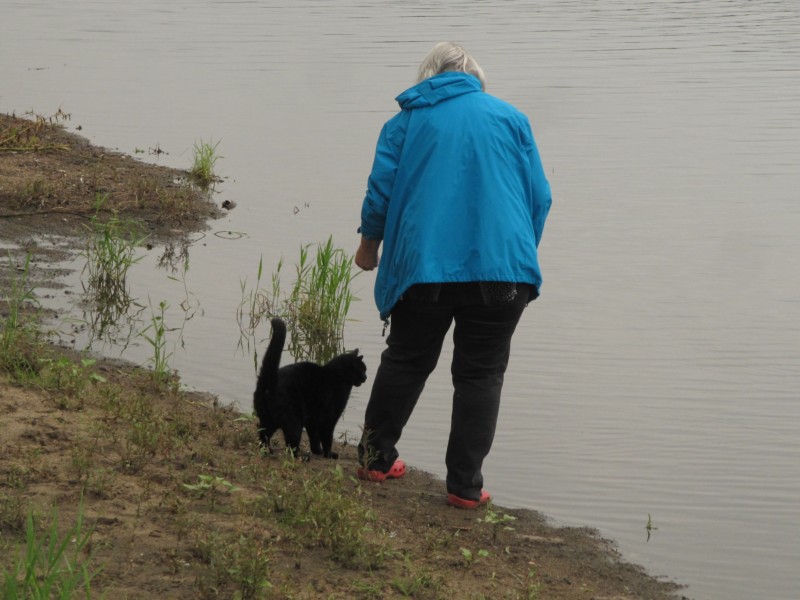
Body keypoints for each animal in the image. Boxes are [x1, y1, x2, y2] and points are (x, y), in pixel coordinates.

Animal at [252, 318, 368, 460]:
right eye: (362, 370)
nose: (366, 377)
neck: (337, 376)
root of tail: (270, 381)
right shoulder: (329, 419)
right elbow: (327, 439)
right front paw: (329, 454)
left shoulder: (313, 419)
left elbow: (314, 437)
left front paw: (317, 451)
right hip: (294, 421)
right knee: (291, 444)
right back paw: (301, 457)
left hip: (268, 419)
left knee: (263, 437)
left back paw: (267, 452)